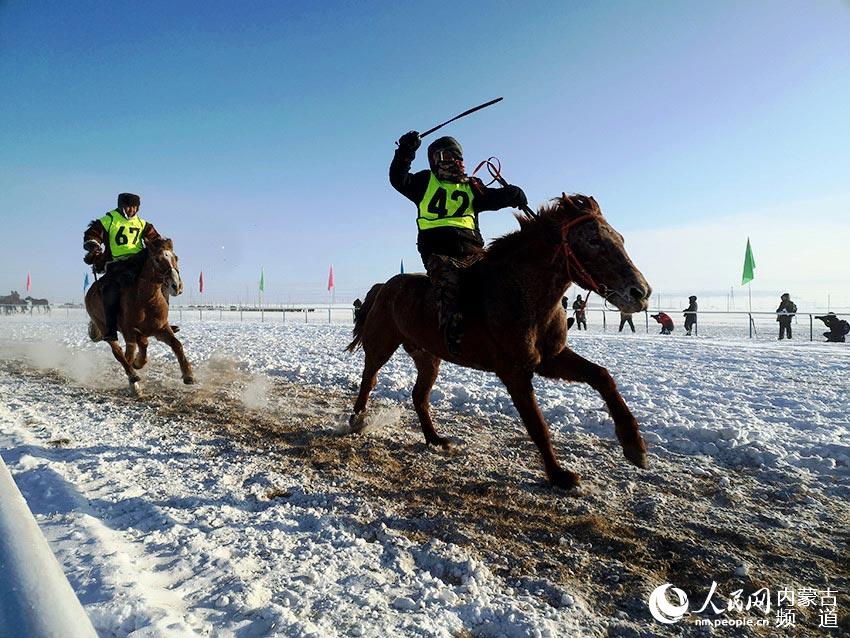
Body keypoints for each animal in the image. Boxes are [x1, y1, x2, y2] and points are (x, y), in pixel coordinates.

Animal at [85, 238, 194, 392]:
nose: (176, 286)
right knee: (119, 353)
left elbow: (176, 344)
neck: (145, 300)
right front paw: (136, 371)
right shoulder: (129, 330)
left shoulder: (161, 328)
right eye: (157, 259)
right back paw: (133, 379)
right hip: (105, 327)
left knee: (136, 348)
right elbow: (131, 352)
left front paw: (188, 375)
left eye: (176, 258)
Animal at [348, 195, 652, 490]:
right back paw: (358, 420)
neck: (519, 293)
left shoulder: (550, 358)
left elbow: (602, 376)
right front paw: (559, 475)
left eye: (620, 238)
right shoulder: (514, 371)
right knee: (369, 379)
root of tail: (383, 287)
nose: (641, 293)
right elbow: (537, 425)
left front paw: (634, 447)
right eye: (593, 240)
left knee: (418, 396)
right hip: (382, 343)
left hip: (427, 356)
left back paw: (435, 439)